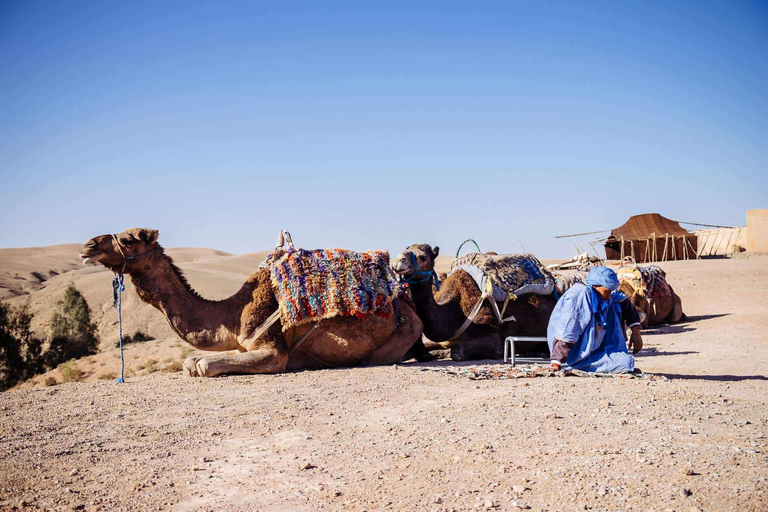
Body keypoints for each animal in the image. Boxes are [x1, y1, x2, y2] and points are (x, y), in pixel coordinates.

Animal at [80, 228, 424, 376]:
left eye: (128, 239)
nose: (87, 246)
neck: (232, 311)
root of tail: (407, 306)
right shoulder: (242, 345)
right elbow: (191, 361)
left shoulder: (272, 351)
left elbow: (203, 365)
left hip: (401, 333)